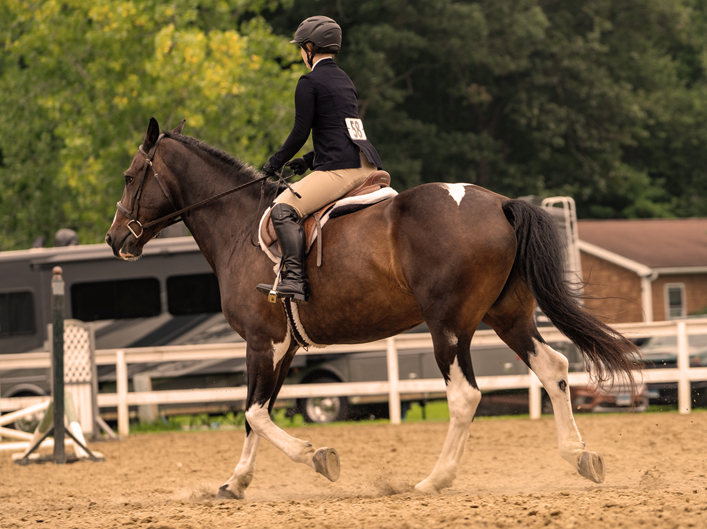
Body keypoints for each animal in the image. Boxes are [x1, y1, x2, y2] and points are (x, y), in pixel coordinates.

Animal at [106, 117, 639, 499]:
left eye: (130, 176)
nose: (114, 240)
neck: (237, 225)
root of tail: (500, 204)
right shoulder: (282, 348)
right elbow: (256, 413)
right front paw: (234, 484)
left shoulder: (263, 342)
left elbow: (255, 414)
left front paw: (318, 457)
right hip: (507, 317)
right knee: (554, 368)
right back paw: (580, 456)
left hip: (449, 326)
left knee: (464, 396)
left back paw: (433, 480)